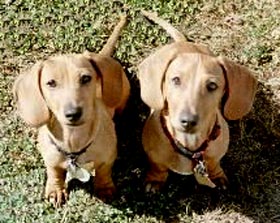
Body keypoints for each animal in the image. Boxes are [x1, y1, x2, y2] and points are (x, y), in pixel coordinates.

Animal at [13, 16, 130, 206]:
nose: (73, 113)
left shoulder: (108, 157)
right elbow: (53, 171)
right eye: (51, 83)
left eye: (86, 78)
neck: (73, 144)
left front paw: (104, 188)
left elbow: (104, 171)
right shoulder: (50, 157)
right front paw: (55, 189)